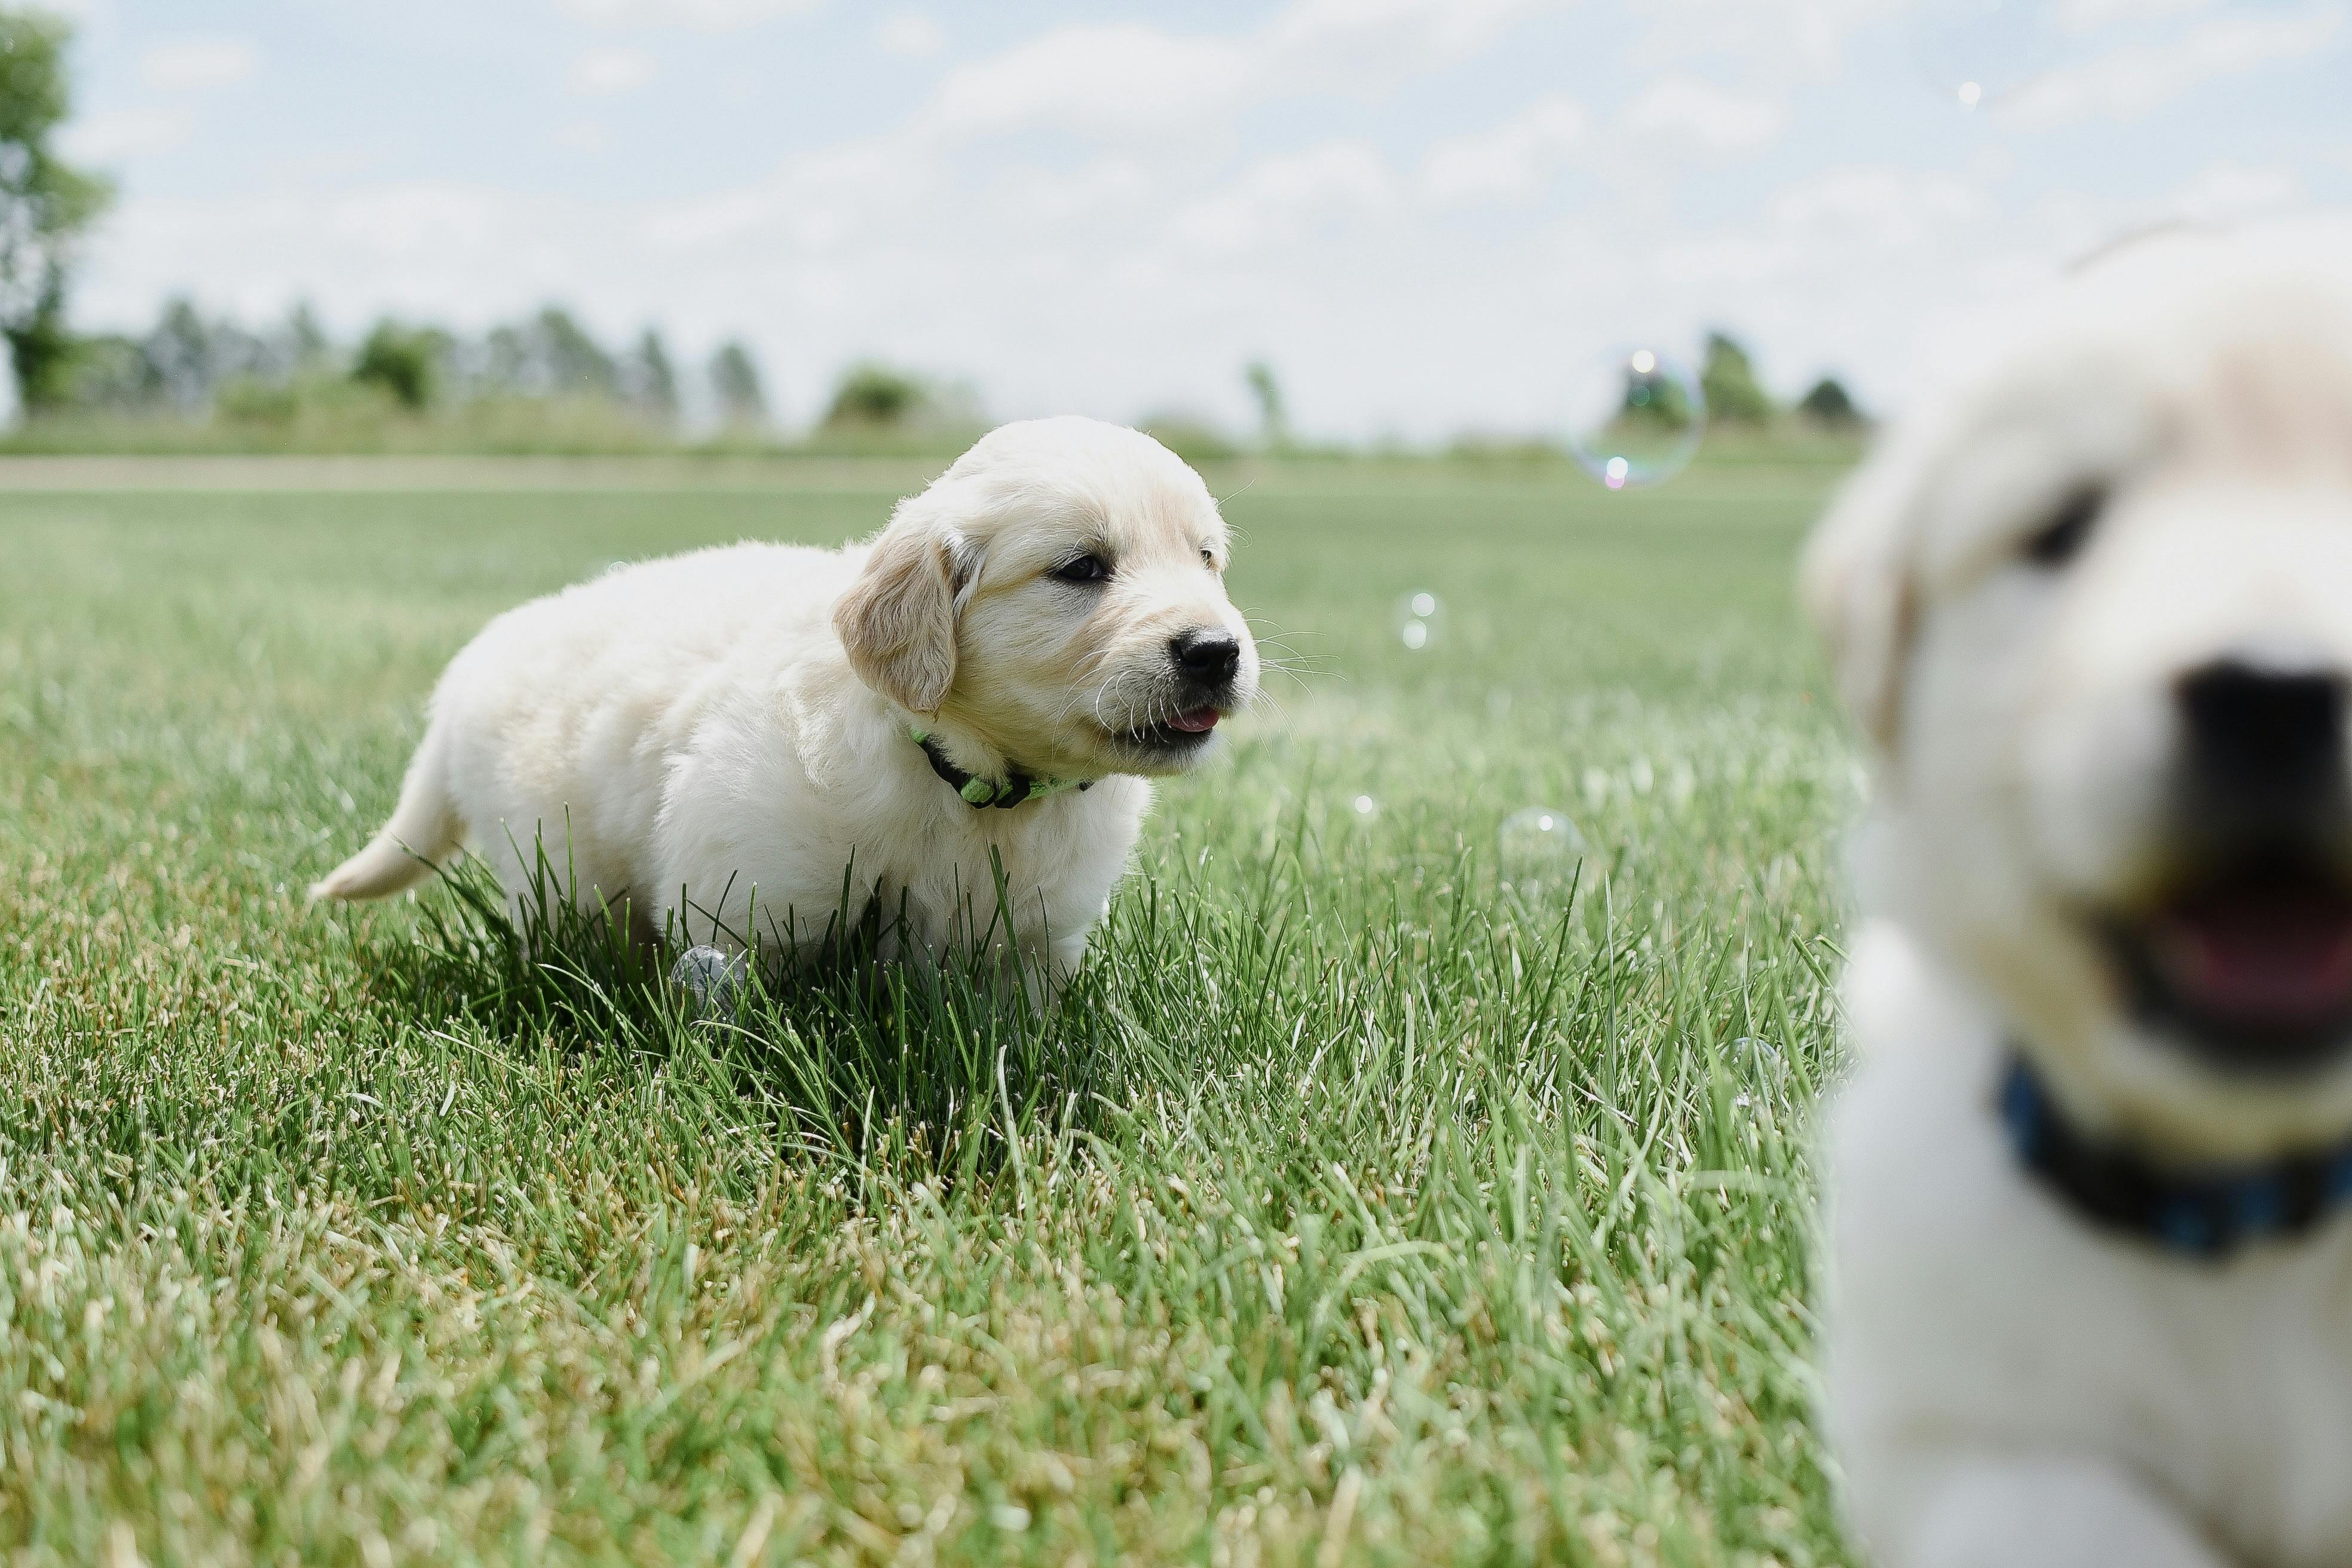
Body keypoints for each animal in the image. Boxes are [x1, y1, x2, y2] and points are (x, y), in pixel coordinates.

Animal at [327, 416, 1270, 992]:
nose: (1217, 651)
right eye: (1080, 568)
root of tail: (468, 673)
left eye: (1207, 559)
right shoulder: (743, 896)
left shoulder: (1039, 937)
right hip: (552, 854)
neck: (969, 786)